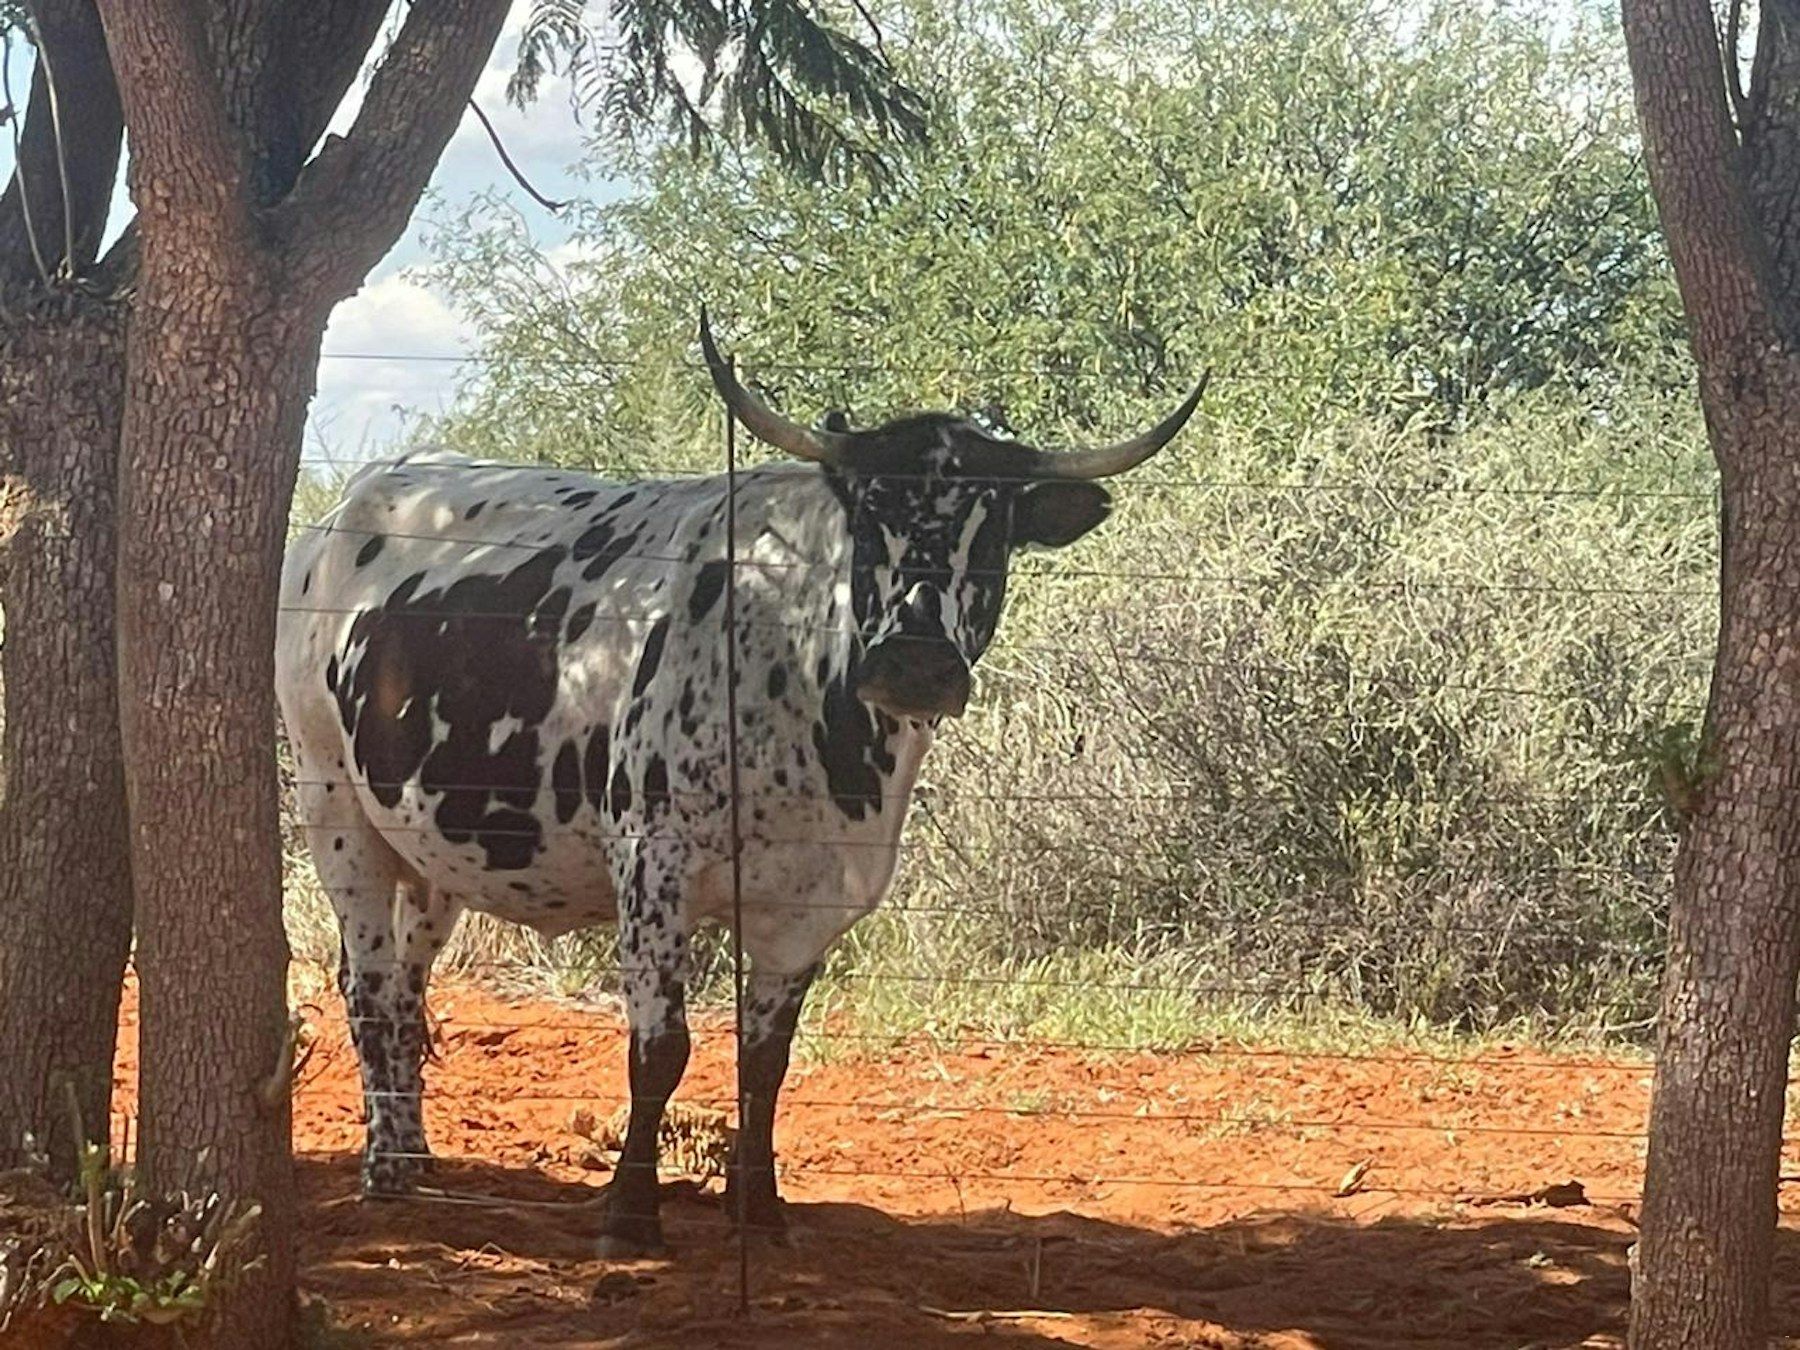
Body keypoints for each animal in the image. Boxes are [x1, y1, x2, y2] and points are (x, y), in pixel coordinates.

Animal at [275, 313, 1205, 1254]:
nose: (915, 666)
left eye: (994, 532)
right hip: (335, 807)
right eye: (868, 519)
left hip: (430, 848)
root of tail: (347, 510)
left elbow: (766, 1061)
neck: (799, 678)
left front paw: (760, 1208)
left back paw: (415, 1148)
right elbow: (661, 1048)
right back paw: (386, 1169)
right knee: (368, 984)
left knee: (409, 984)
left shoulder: (814, 898)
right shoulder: (654, 864)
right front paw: (630, 1216)